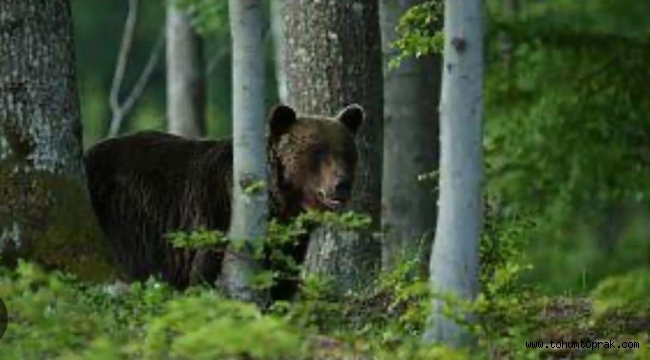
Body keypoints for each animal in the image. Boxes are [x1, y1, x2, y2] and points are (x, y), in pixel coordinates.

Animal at [83, 105, 362, 300]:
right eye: (318, 152)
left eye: (346, 151)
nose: (342, 184)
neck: (279, 204)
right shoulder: (213, 213)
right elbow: (203, 270)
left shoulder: (290, 238)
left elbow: (284, 276)